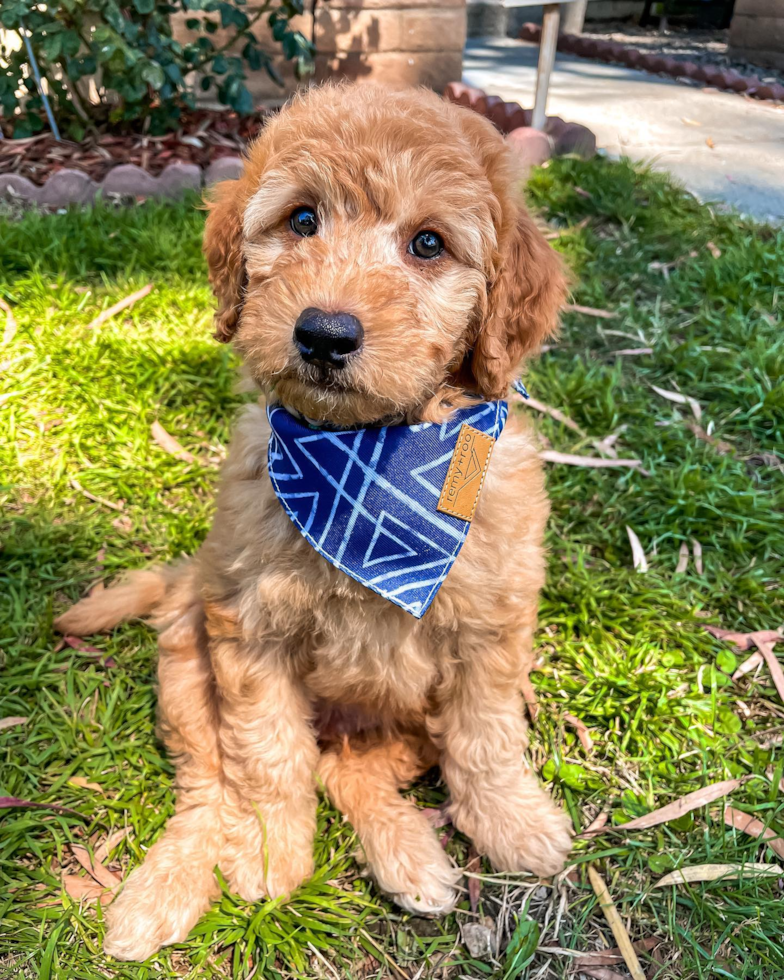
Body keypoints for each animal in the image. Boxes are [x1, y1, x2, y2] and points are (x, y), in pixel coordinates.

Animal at [55, 82, 568, 956]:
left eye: (428, 243)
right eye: (301, 220)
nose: (325, 334)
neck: (372, 462)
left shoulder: (490, 628)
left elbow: (488, 736)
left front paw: (514, 821)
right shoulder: (250, 629)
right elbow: (266, 755)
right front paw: (267, 851)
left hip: (402, 718)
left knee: (350, 769)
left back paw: (409, 857)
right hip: (186, 663)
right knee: (211, 780)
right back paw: (162, 891)